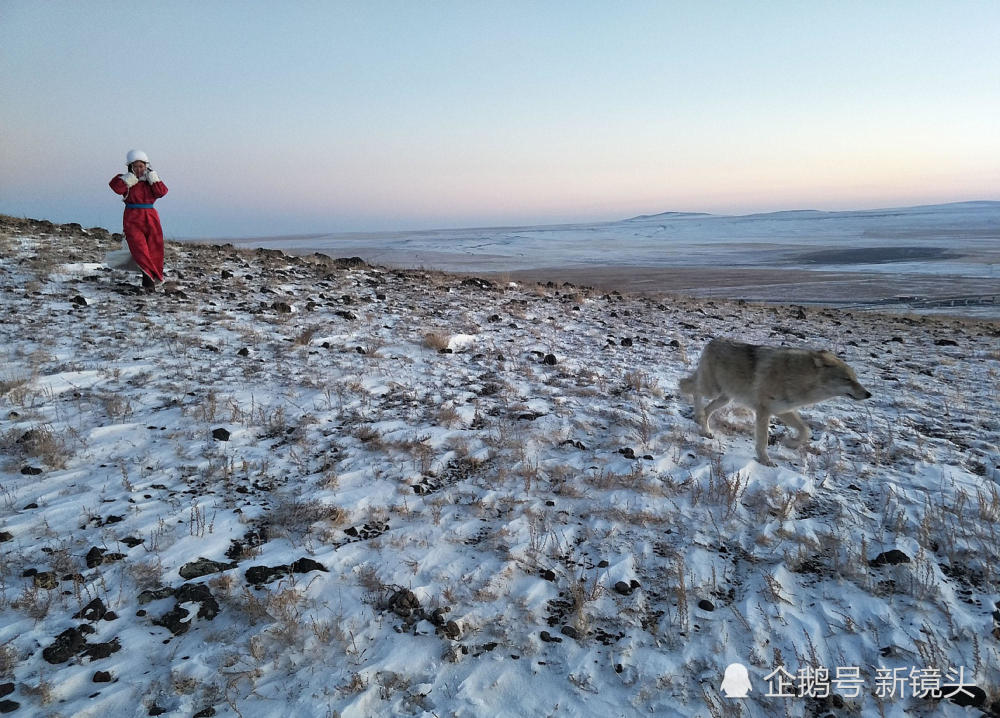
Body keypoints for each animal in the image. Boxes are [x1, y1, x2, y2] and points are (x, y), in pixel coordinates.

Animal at [676, 342, 872, 470]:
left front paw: (790, 443)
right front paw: (765, 461)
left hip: (725, 398)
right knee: (688, 386)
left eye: (856, 378)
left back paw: (705, 429)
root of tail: (713, 341)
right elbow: (763, 441)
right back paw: (698, 416)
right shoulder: (764, 411)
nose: (869, 394)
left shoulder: (783, 410)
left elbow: (806, 430)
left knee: (706, 408)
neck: (798, 378)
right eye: (847, 379)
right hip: (712, 391)